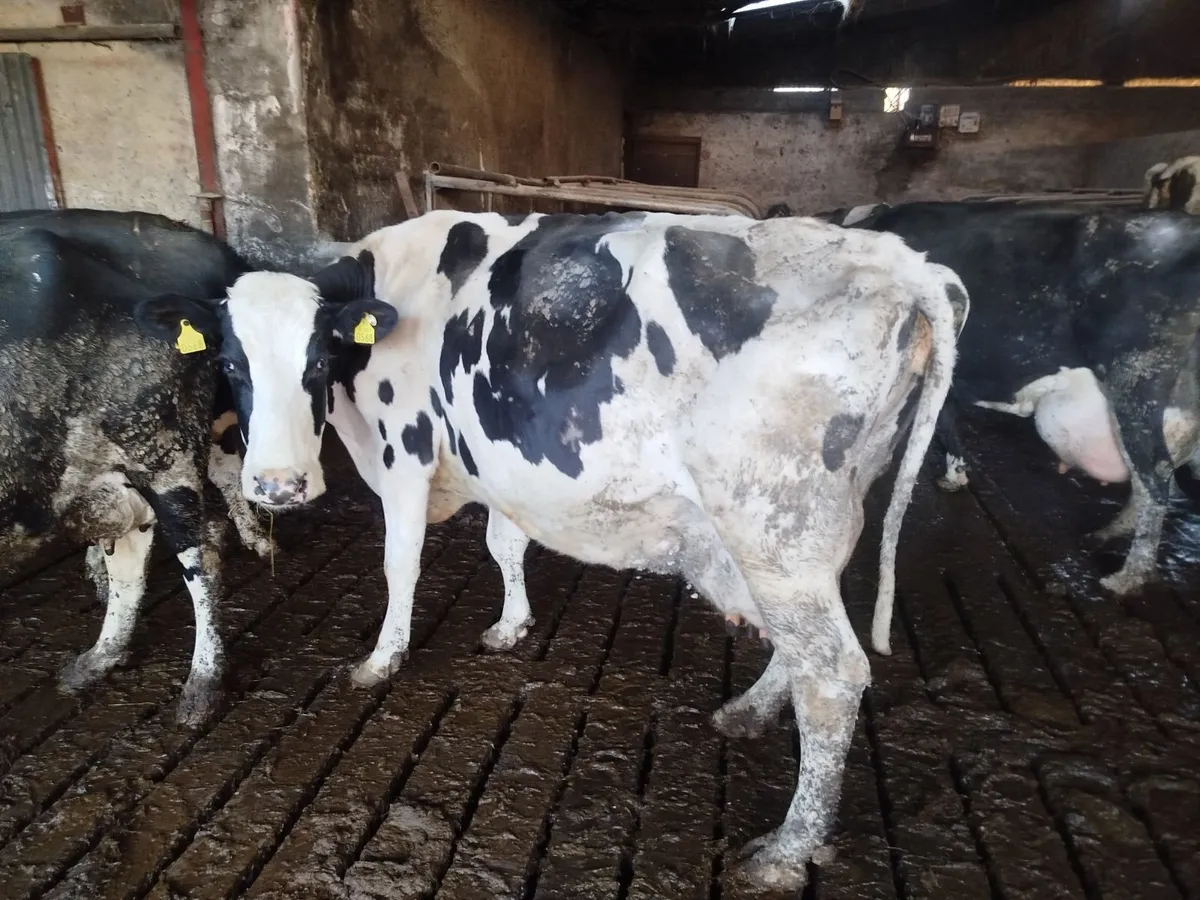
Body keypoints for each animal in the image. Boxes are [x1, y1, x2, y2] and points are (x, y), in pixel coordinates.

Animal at [134, 208, 965, 889]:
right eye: (231, 364)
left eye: (316, 360)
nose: (276, 486)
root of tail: (903, 261)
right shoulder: (499, 467)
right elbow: (505, 543)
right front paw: (511, 624)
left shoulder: (406, 449)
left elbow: (399, 561)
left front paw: (381, 658)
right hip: (804, 531)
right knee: (804, 647)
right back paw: (749, 713)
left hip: (775, 524)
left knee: (832, 673)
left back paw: (788, 849)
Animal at [824, 201, 1200, 645]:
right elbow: (946, 423)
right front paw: (956, 475)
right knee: (1153, 479)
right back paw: (1111, 532)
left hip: (1135, 383)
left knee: (1155, 478)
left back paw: (1127, 577)